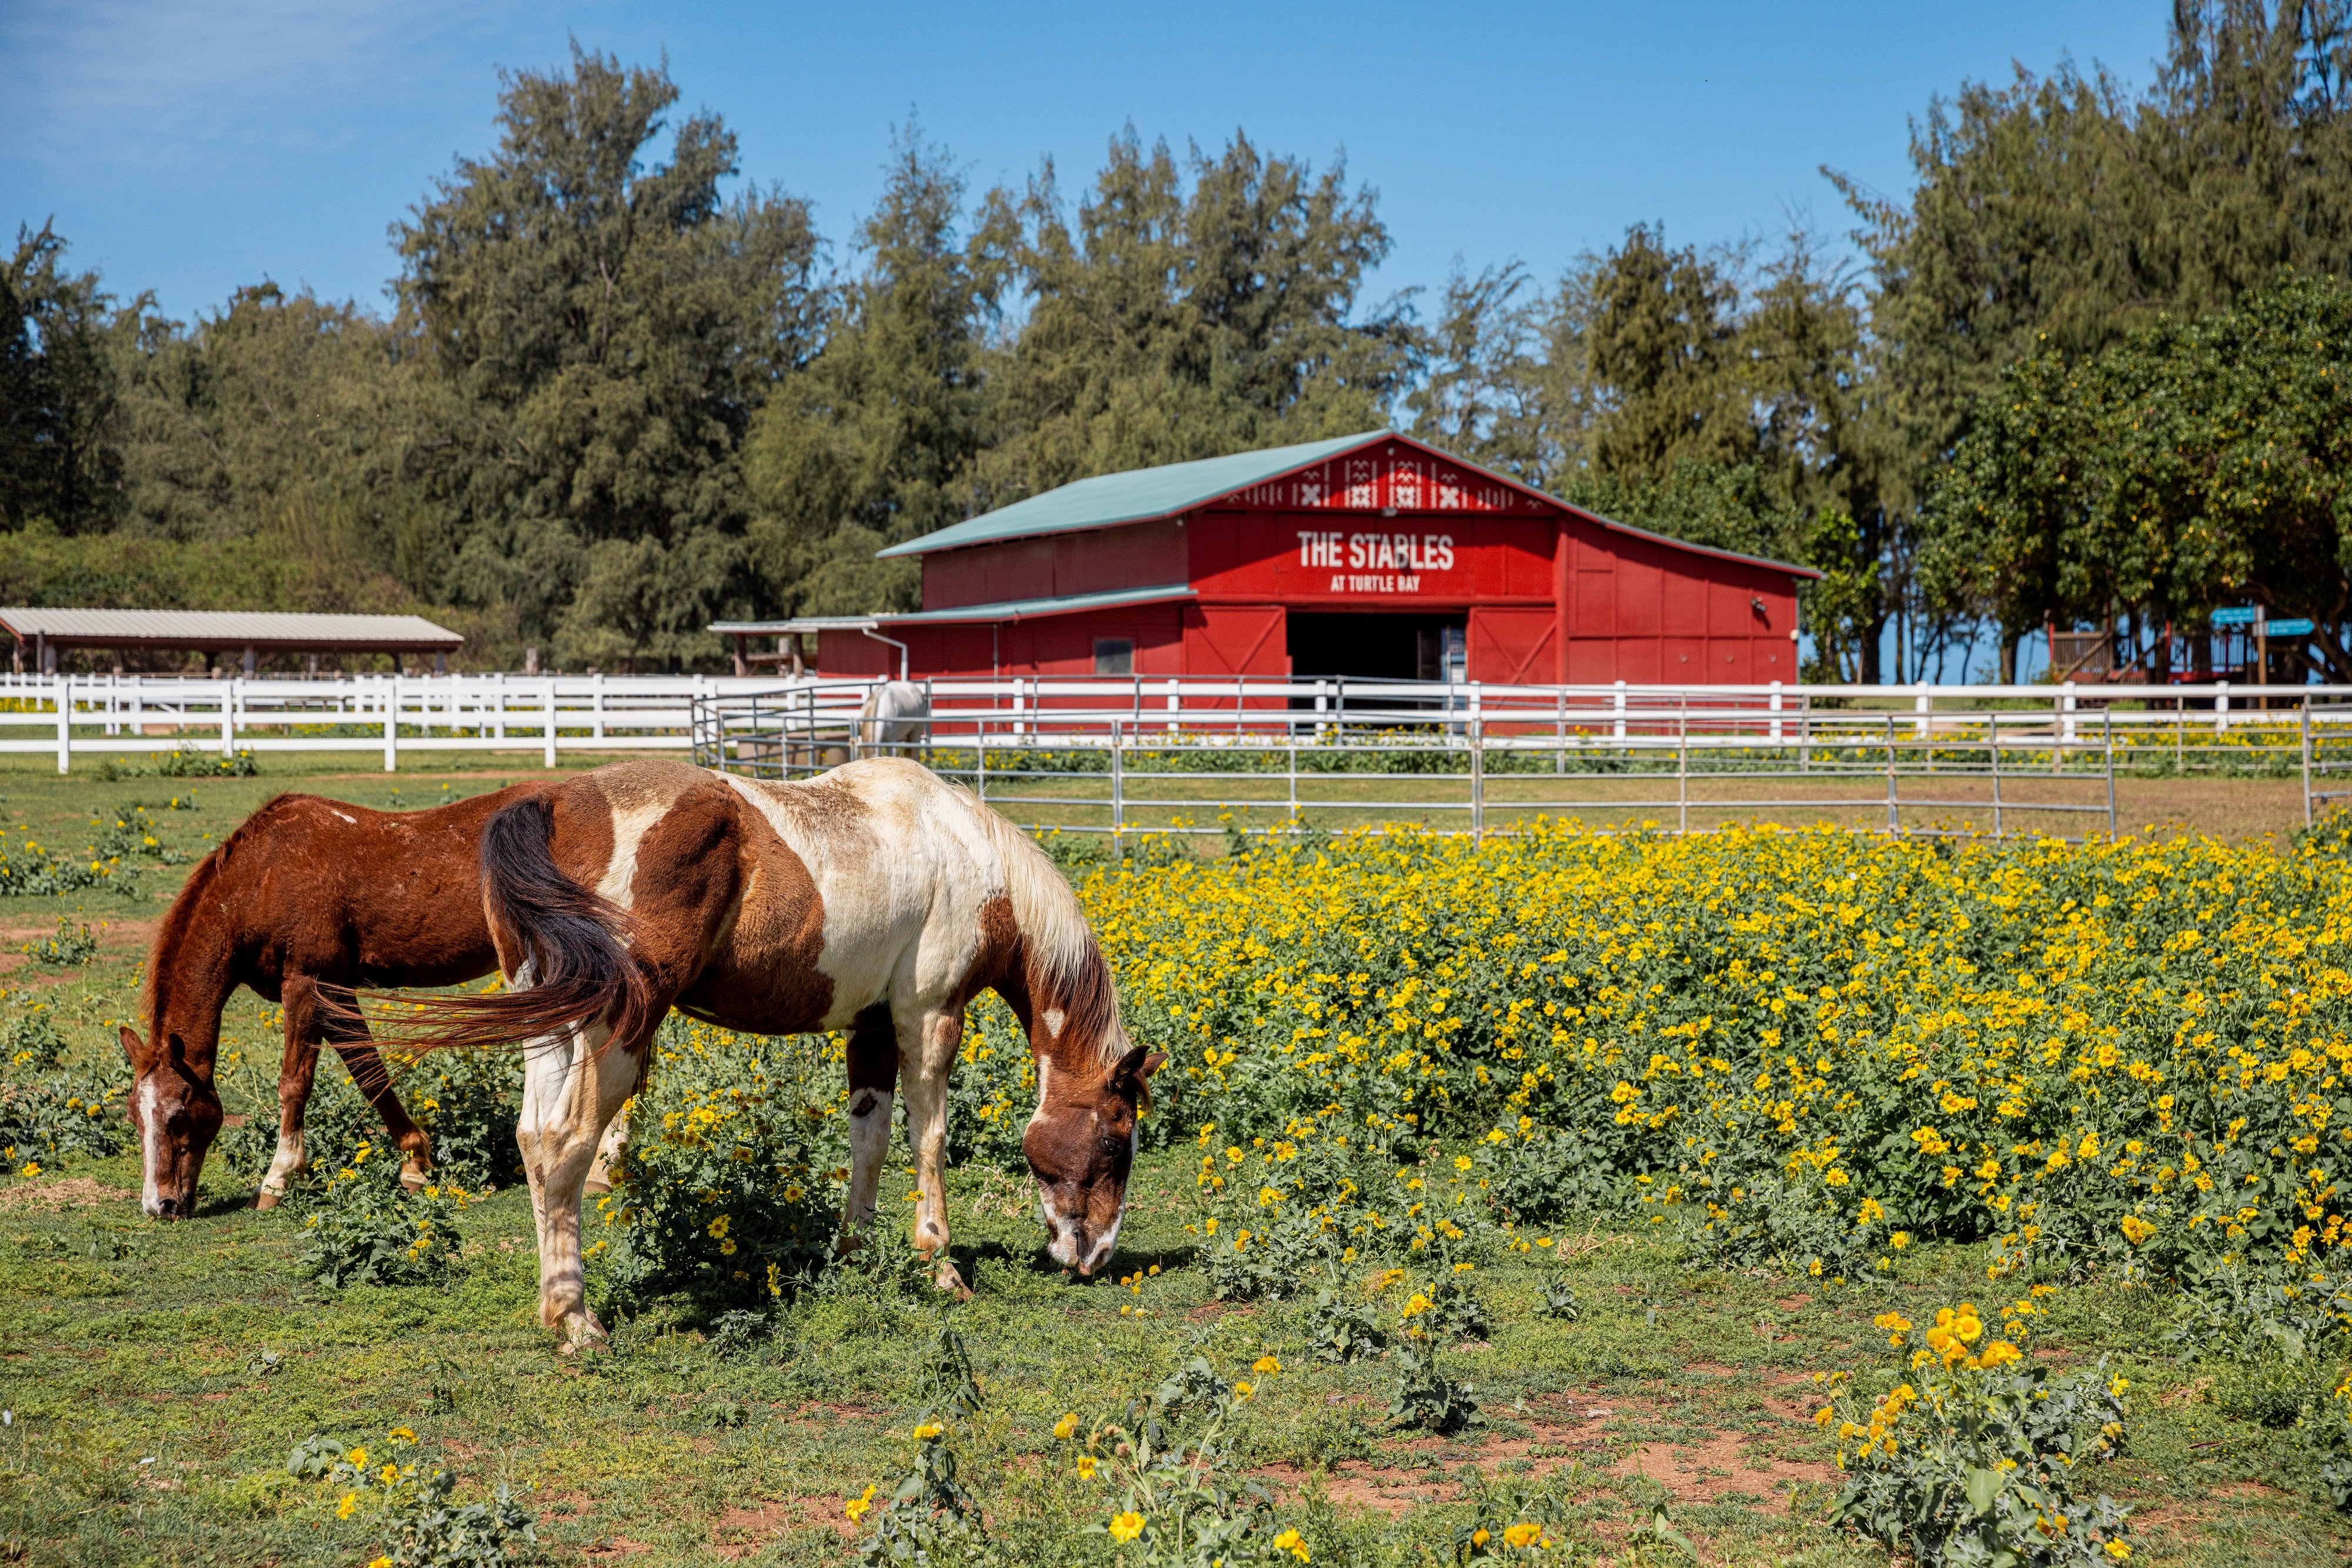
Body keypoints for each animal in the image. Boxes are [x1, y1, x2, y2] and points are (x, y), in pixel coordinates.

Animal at [125, 790, 555, 1222]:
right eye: (133, 1117)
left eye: (177, 1115)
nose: (159, 1205)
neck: (262, 878)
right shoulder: (335, 994)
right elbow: (369, 1073)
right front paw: (415, 1162)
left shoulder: (305, 985)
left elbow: (294, 1084)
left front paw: (276, 1180)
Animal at [395, 757, 1167, 1354]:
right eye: (1114, 1141)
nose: (1095, 1255)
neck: (970, 853)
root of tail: (554, 804)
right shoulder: (930, 1017)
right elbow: (929, 1138)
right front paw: (939, 1265)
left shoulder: (872, 1028)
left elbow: (870, 1139)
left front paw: (856, 1250)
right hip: (617, 1031)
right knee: (565, 1145)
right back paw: (577, 1319)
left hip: (551, 1024)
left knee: (533, 1139)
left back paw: (553, 1306)